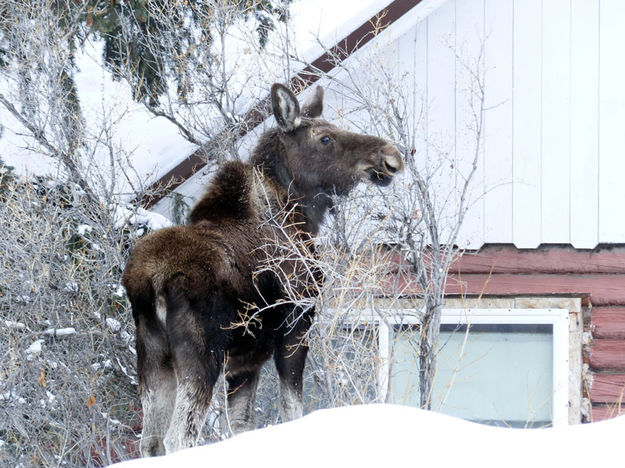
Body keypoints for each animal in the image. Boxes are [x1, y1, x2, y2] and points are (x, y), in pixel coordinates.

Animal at [123, 82, 404, 456]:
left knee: (151, 442)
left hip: (152, 360)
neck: (301, 217)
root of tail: (150, 281)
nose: (391, 156)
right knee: (179, 438)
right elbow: (291, 409)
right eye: (325, 138)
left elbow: (242, 425)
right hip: (201, 357)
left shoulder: (246, 362)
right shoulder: (296, 328)